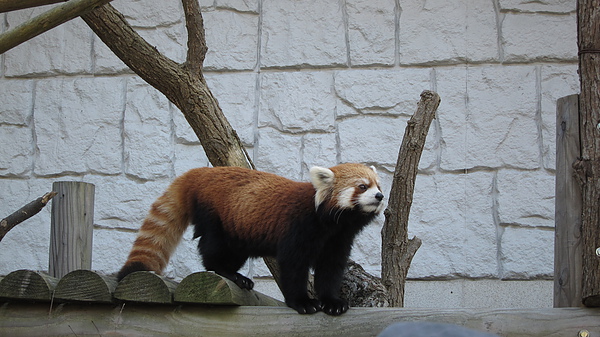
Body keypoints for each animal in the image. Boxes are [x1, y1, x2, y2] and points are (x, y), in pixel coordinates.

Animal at [118, 163, 384, 316]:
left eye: (378, 185)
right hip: (216, 217)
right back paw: (227, 273)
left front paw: (332, 302)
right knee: (212, 249)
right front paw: (302, 302)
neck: (331, 225)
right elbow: (293, 267)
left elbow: (331, 270)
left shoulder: (337, 241)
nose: (380, 196)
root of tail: (202, 172)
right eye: (362, 186)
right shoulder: (299, 229)